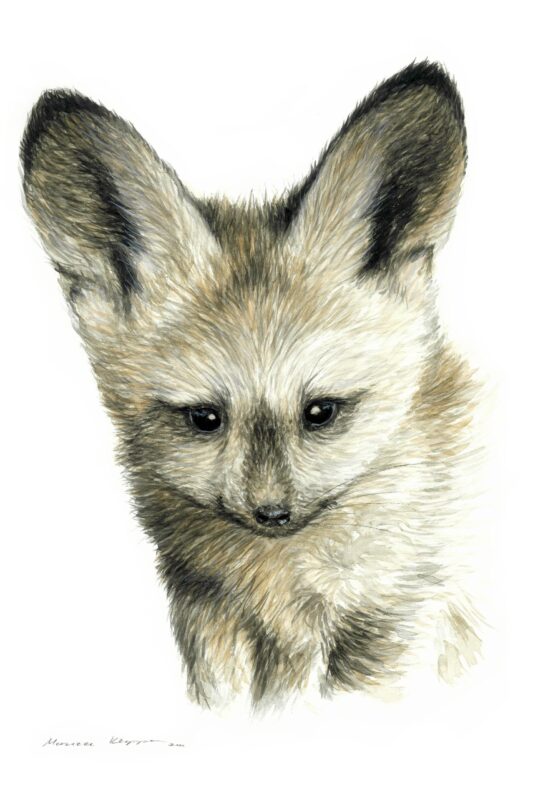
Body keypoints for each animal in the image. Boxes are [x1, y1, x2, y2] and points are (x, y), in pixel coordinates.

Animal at [21, 61, 482, 709]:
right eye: (204, 418)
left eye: (320, 411)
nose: (271, 514)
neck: (279, 588)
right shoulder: (211, 619)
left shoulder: (396, 618)